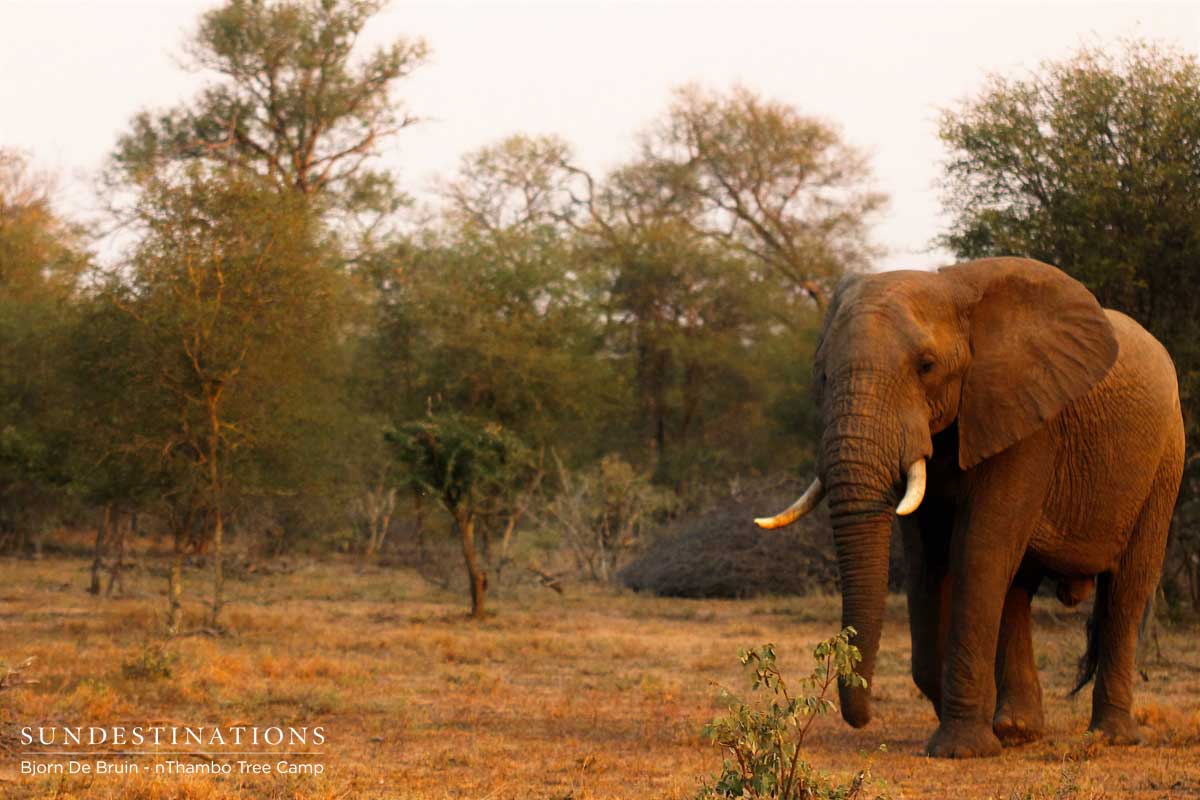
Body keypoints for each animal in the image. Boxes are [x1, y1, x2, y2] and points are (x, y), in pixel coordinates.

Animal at [754, 257, 1184, 758]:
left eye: (927, 366)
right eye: (821, 375)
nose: (861, 718)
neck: (953, 291)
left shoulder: (1027, 421)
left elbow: (978, 551)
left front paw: (960, 749)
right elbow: (926, 560)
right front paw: (967, 725)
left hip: (1165, 459)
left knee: (1127, 588)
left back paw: (1110, 737)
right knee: (1017, 588)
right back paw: (1017, 731)